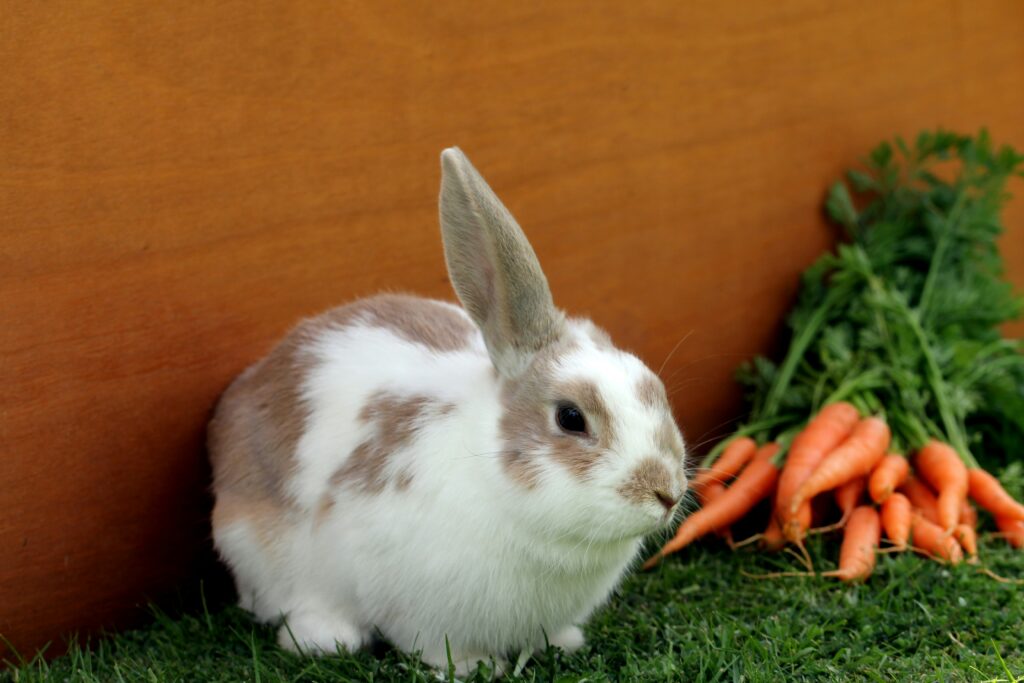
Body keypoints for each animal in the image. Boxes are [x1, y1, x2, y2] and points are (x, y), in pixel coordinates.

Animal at [206, 147, 688, 675]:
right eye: (570, 418)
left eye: (654, 387)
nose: (667, 492)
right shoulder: (415, 604)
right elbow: (436, 643)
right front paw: (475, 667)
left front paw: (564, 641)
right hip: (256, 548)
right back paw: (326, 637)